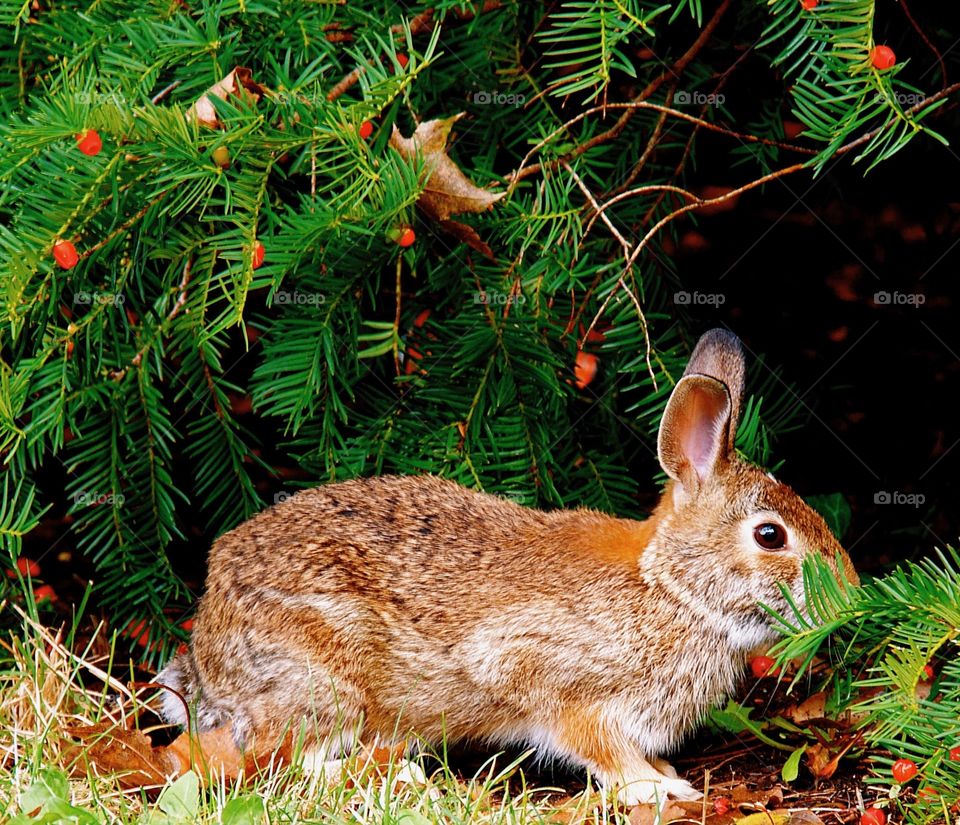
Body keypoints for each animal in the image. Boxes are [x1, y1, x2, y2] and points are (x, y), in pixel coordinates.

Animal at [156, 330, 856, 804]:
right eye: (770, 536)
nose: (849, 595)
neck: (672, 588)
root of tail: (210, 651)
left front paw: (665, 776)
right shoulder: (553, 680)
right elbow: (595, 743)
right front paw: (655, 790)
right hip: (328, 681)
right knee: (291, 761)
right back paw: (399, 774)